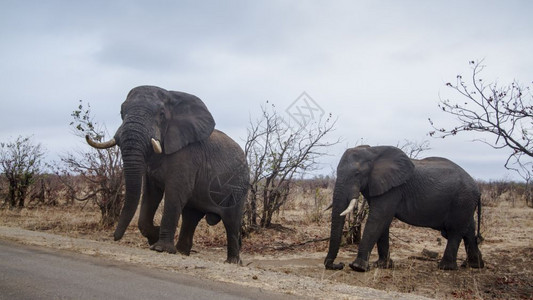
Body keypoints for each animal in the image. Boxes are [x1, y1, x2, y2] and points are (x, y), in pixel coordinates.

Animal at [87, 85, 249, 264]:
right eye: (122, 112)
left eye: (161, 114)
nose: (115, 237)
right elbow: (151, 194)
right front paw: (154, 237)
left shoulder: (187, 155)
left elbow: (175, 192)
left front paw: (160, 248)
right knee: (190, 217)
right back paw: (182, 252)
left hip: (239, 187)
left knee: (231, 222)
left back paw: (232, 262)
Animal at [322, 145, 484, 272]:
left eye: (357, 174)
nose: (338, 264)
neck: (373, 151)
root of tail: (478, 189)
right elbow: (383, 222)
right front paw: (383, 265)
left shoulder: (394, 189)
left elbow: (379, 218)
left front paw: (358, 267)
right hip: (465, 203)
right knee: (468, 229)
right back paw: (474, 265)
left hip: (462, 200)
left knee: (456, 230)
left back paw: (446, 267)